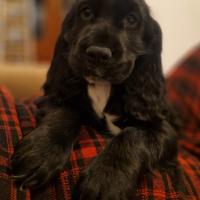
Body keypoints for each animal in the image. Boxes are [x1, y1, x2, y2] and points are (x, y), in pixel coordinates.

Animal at [10, 0, 177, 198]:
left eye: (132, 19)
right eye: (86, 12)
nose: (98, 53)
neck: (102, 87)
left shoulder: (164, 128)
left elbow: (133, 134)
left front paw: (107, 179)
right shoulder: (53, 98)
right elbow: (64, 112)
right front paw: (40, 152)